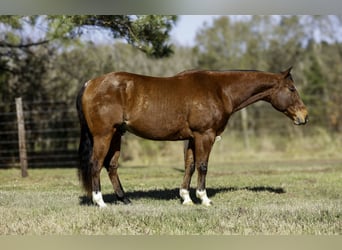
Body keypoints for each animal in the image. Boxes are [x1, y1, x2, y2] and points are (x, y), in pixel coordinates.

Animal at [76, 66, 308, 207]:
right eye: (292, 88)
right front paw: (204, 199)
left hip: (117, 134)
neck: (220, 89)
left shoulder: (191, 138)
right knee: (96, 164)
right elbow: (203, 166)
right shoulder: (205, 135)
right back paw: (100, 202)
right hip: (104, 135)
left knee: (111, 166)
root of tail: (91, 83)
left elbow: (189, 165)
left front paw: (186, 198)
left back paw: (124, 200)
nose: (304, 116)